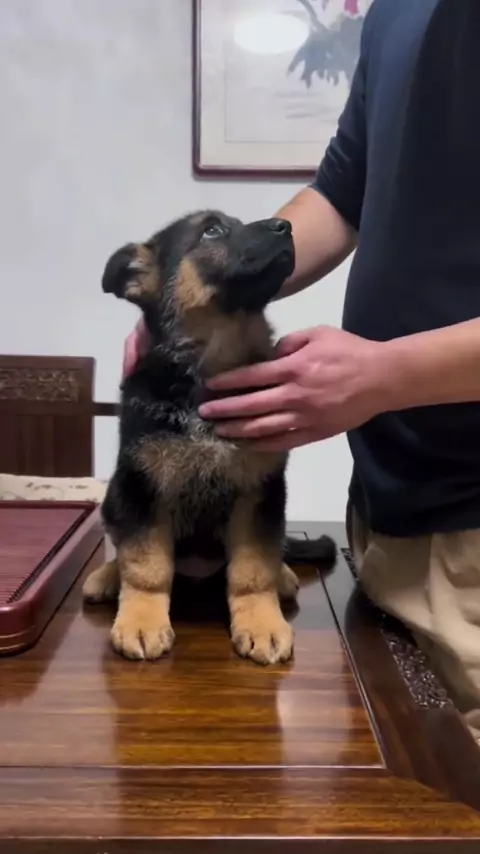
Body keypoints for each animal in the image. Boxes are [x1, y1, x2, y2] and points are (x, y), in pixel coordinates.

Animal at [82, 210, 336, 665]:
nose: (286, 226)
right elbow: (144, 564)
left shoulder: (258, 492)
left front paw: (261, 622)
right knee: (123, 544)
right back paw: (108, 576)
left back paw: (283, 575)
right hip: (115, 495)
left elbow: (252, 568)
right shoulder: (143, 487)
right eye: (212, 231)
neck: (208, 369)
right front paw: (142, 620)